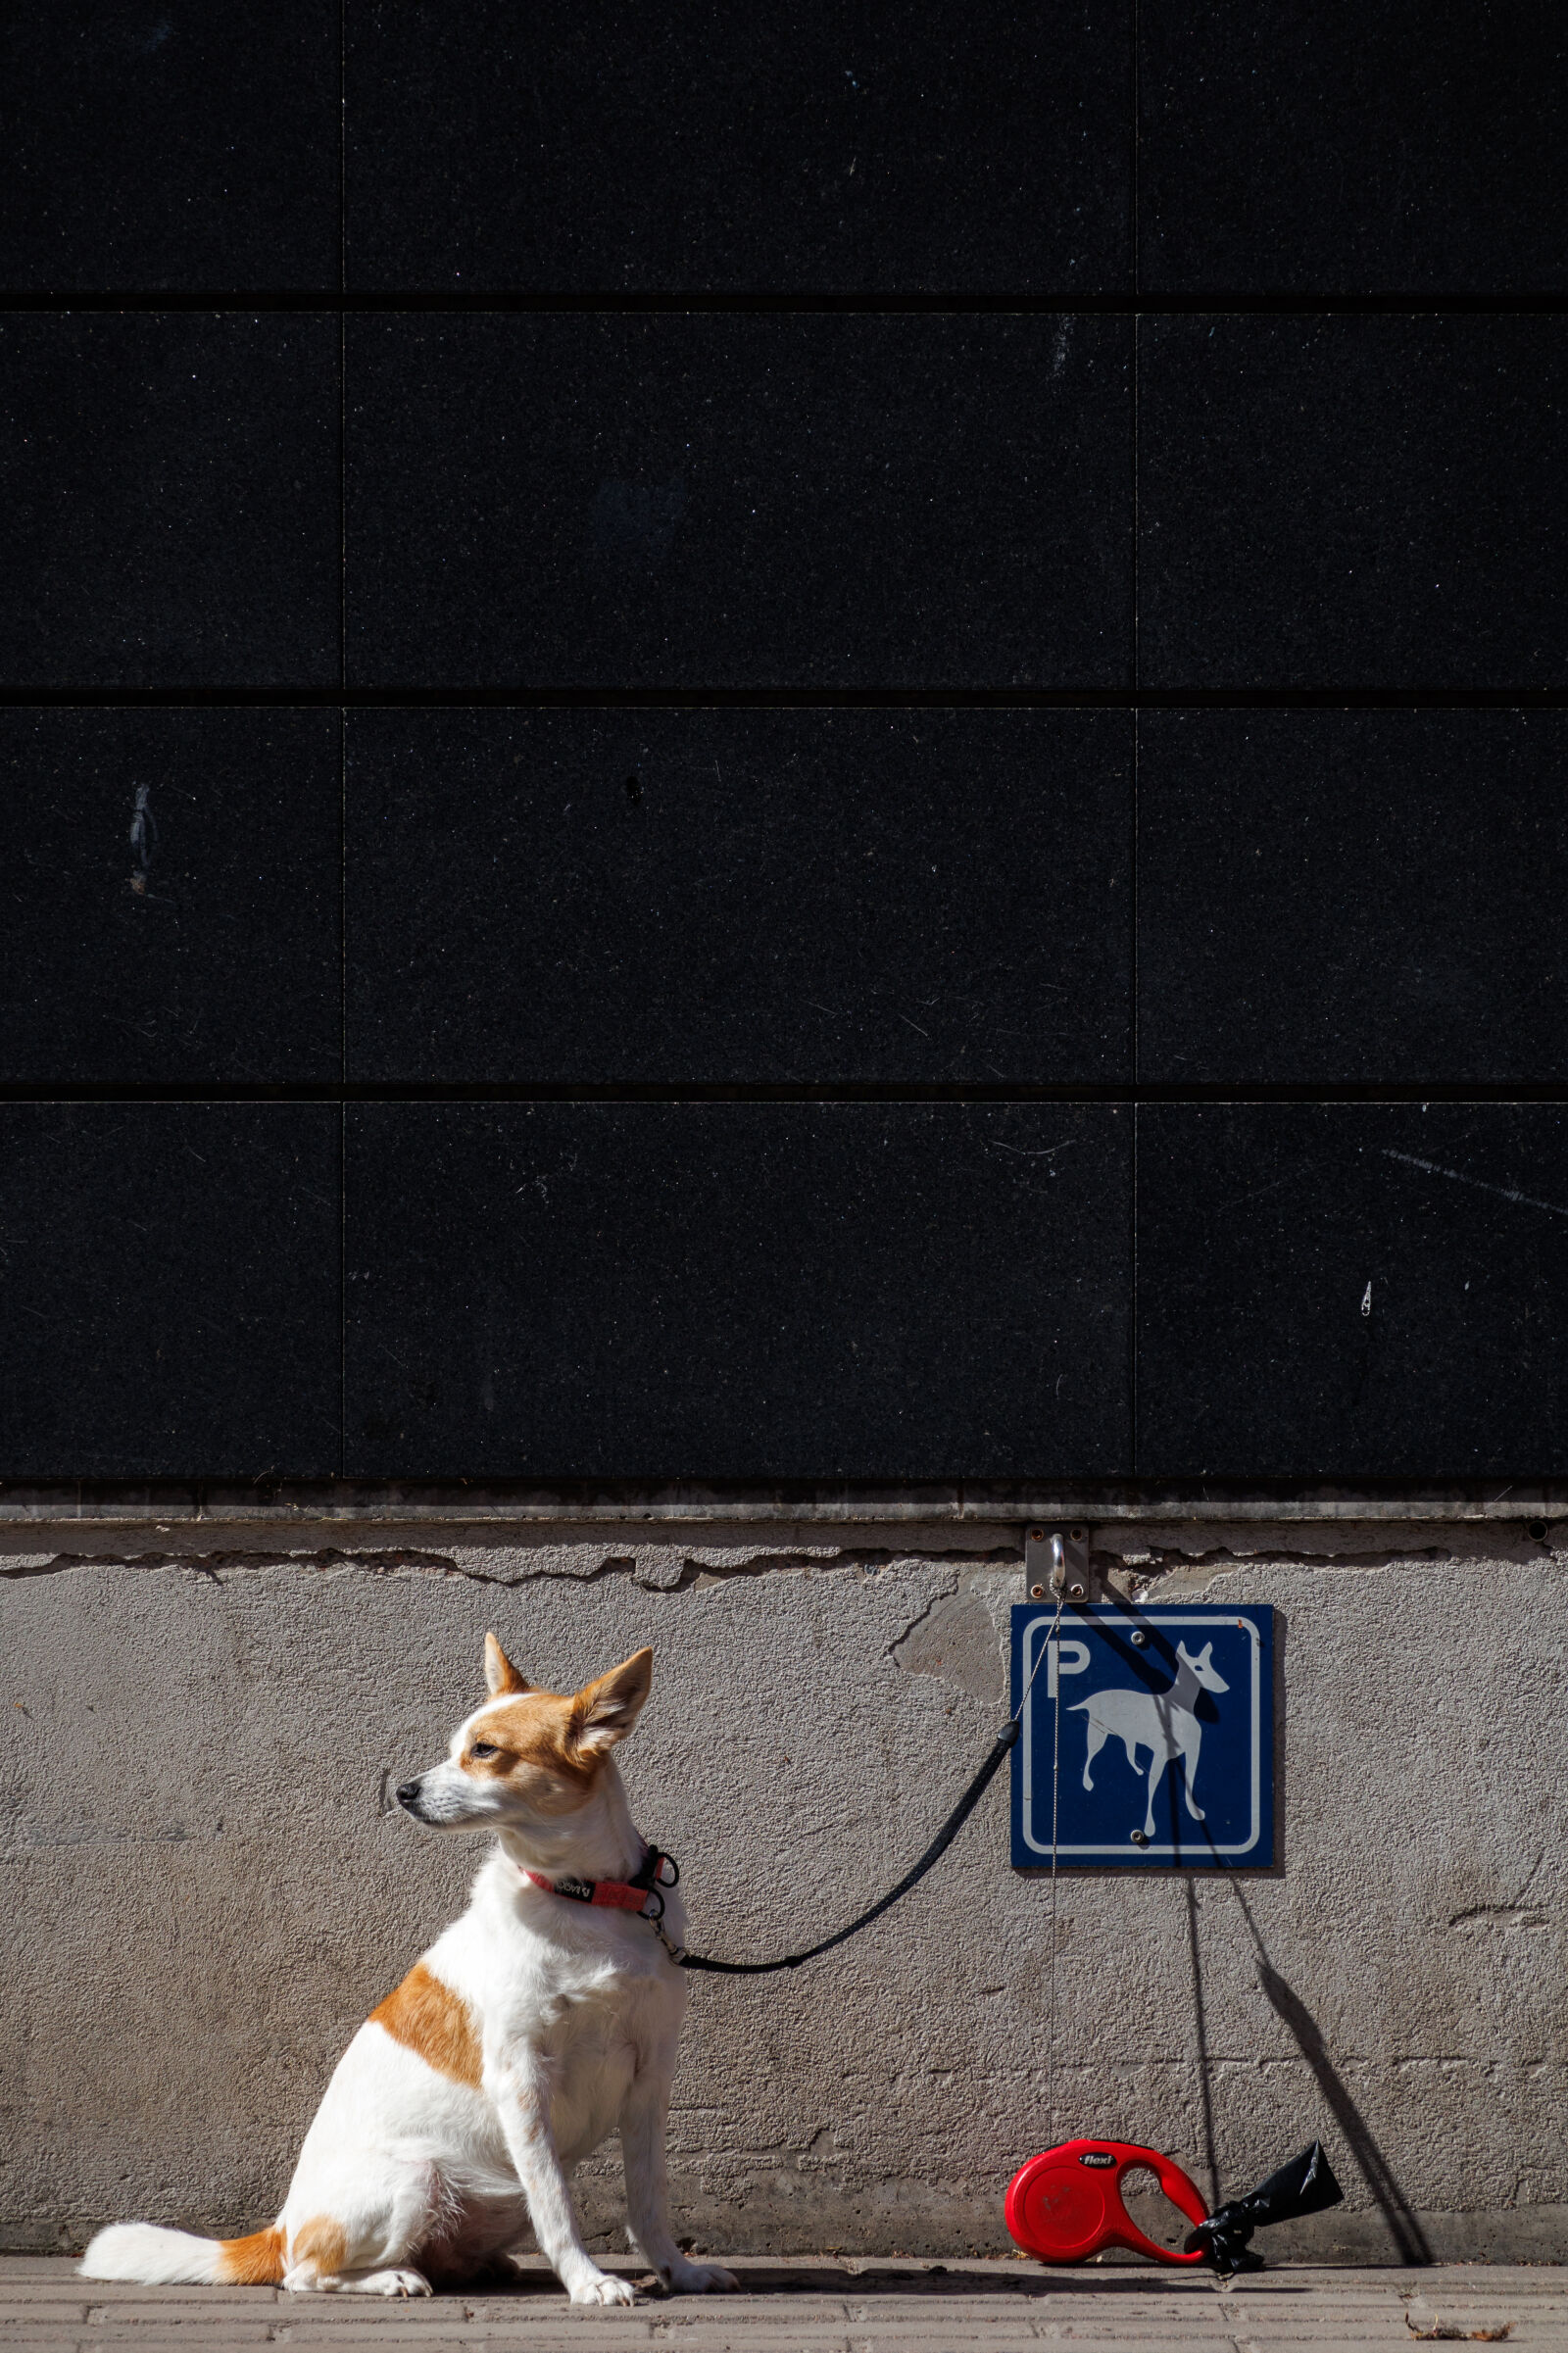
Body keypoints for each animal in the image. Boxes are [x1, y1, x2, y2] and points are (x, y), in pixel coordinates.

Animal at [77, 1638, 724, 2296]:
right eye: (455, 1746)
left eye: (484, 1750)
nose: (404, 1791)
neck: (586, 1898)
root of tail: (281, 2227)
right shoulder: (519, 2076)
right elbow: (556, 2203)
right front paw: (587, 2281)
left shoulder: (649, 2076)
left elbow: (647, 2198)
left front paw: (676, 2269)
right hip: (418, 2176)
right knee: (305, 2274)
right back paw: (392, 2278)